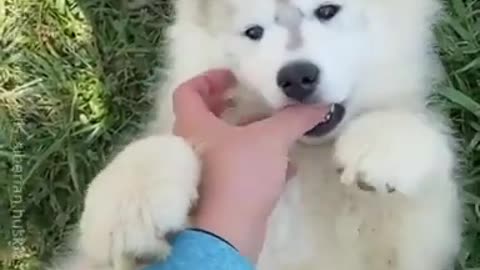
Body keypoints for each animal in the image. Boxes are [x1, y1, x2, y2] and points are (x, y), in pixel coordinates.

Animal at [56, 0, 464, 270]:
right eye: (254, 32)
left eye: (327, 11)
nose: (297, 77)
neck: (307, 156)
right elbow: (162, 144)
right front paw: (132, 206)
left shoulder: (411, 241)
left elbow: (423, 137)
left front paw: (381, 142)